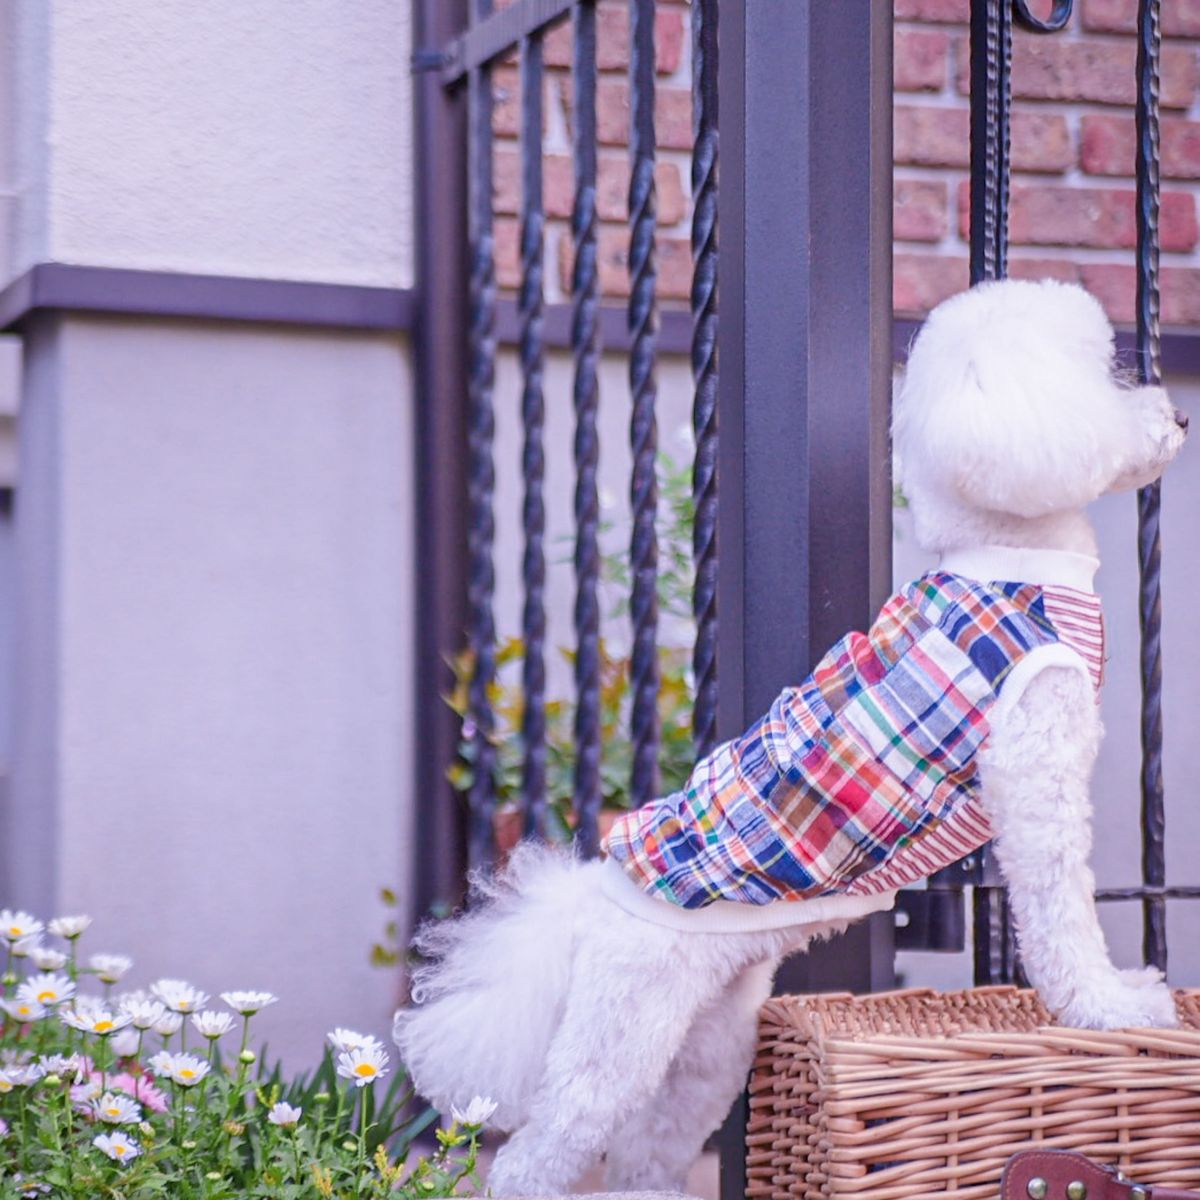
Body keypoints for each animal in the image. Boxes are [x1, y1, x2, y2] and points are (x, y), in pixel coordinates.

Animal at [396, 278, 1190, 1190]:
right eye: (1107, 371)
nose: (1179, 418)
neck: (1010, 556)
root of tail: (597, 892)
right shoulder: (1034, 775)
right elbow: (1062, 915)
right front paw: (1114, 1006)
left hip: (711, 1039)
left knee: (651, 1148)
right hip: (622, 1029)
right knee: (542, 1152)